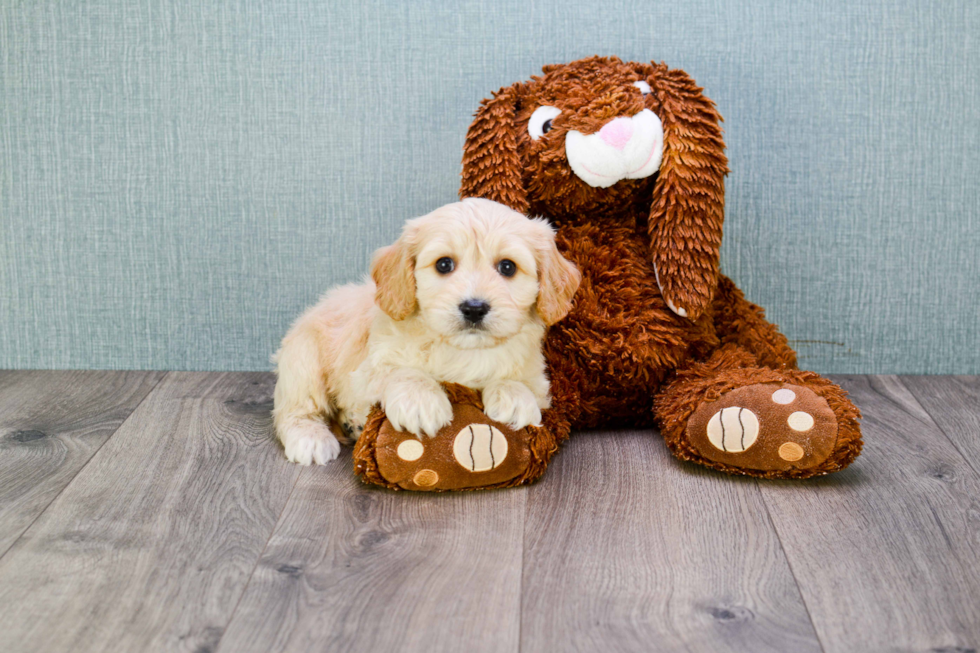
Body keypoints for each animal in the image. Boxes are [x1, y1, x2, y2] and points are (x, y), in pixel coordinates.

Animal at [272, 197, 580, 464]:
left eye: (507, 267)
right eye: (444, 264)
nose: (474, 308)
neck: (464, 351)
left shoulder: (538, 380)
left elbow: (517, 381)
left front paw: (514, 396)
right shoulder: (366, 370)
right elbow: (401, 371)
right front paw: (421, 402)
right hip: (303, 359)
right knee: (294, 409)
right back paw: (311, 438)